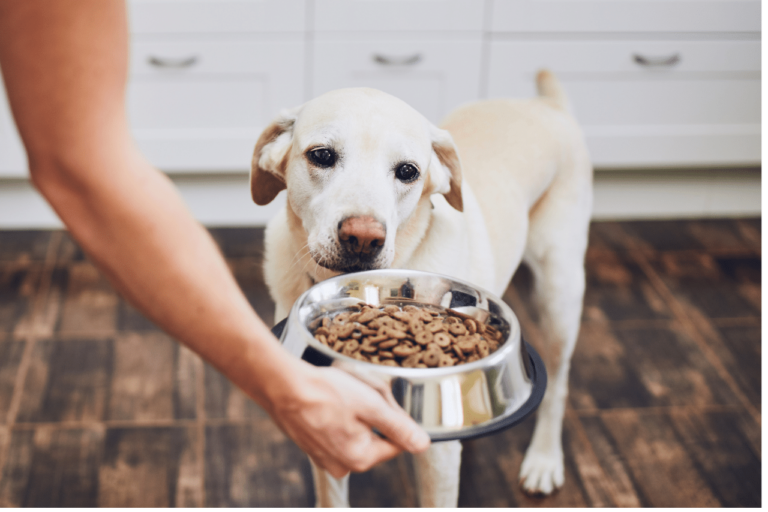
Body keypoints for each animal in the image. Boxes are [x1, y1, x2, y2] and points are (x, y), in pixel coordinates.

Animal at [252, 70, 592, 506]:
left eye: (408, 171)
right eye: (322, 155)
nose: (363, 238)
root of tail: (547, 105)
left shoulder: (438, 457)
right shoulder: (327, 427)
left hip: (560, 293)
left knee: (560, 385)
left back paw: (544, 459)